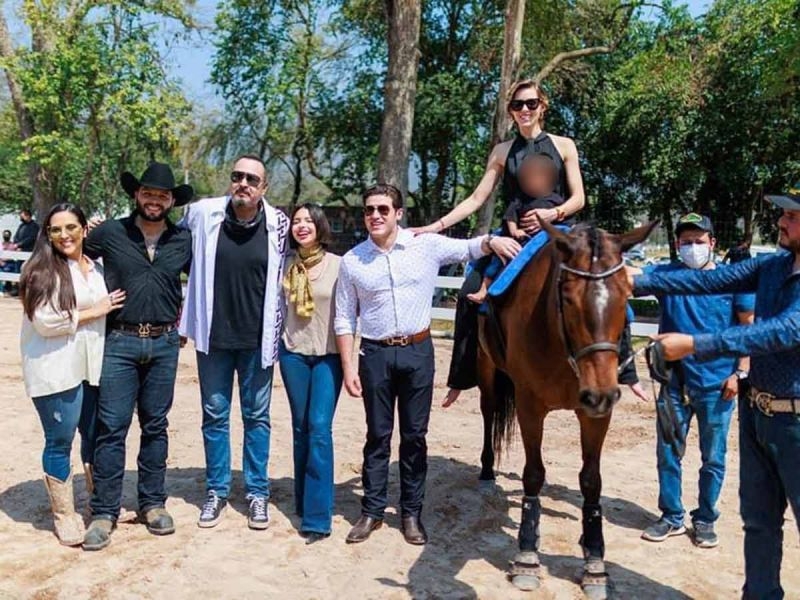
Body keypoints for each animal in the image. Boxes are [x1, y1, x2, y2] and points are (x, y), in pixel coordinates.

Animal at [476, 220, 656, 600]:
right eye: (569, 298)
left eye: (626, 295)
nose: (601, 393)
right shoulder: (529, 406)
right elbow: (533, 475)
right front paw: (527, 557)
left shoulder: (596, 414)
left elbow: (591, 481)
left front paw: (594, 561)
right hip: (486, 368)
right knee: (488, 411)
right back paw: (486, 470)